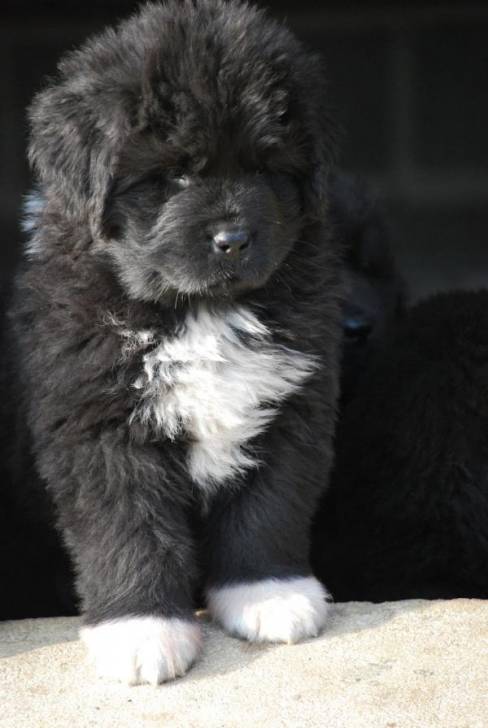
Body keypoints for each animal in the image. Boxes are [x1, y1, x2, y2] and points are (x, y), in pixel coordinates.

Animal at [3, 0, 346, 684]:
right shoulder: (98, 425)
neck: (197, 312)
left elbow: (271, 504)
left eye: (267, 168)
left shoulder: (291, 403)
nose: (233, 239)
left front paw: (268, 592)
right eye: (177, 173)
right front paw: (142, 630)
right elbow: (129, 528)